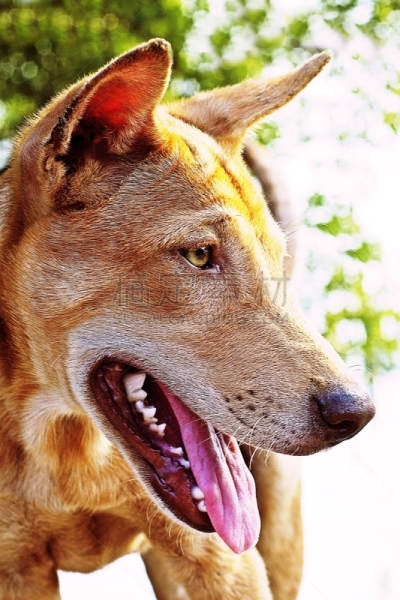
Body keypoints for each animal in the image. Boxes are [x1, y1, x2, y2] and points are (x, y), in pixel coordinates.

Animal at [0, 38, 374, 600]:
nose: (358, 414)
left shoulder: (219, 560)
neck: (66, 454)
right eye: (200, 255)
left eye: (275, 258)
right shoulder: (19, 569)